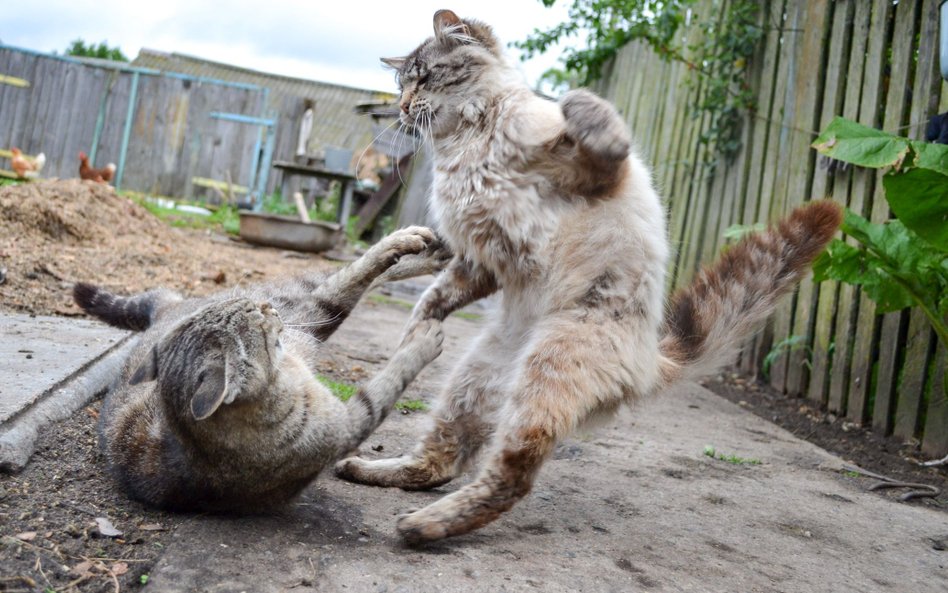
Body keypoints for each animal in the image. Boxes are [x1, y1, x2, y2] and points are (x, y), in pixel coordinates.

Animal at [74, 224, 448, 512]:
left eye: (244, 308)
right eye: (253, 316)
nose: (266, 307)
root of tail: (162, 314)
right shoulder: (347, 422)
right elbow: (389, 382)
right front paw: (423, 341)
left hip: (304, 308)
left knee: (344, 276)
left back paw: (428, 247)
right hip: (310, 316)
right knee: (339, 285)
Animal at [336, 10, 844, 544]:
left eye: (424, 77)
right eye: (402, 83)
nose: (402, 107)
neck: (466, 143)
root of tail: (652, 358)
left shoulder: (590, 173)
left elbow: (604, 132)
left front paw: (575, 99)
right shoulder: (482, 258)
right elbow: (433, 295)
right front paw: (417, 322)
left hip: (547, 370)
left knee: (510, 475)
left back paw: (423, 526)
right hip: (472, 382)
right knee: (444, 461)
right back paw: (377, 478)